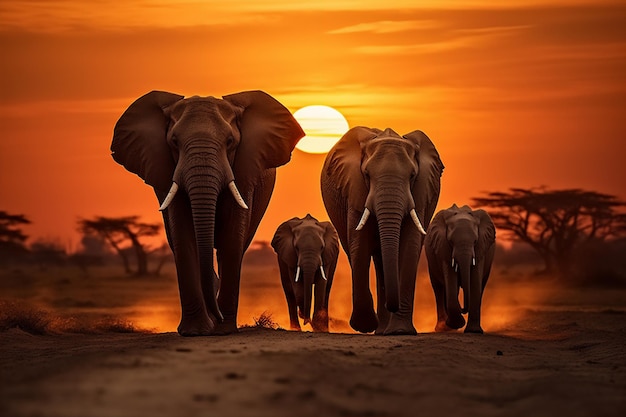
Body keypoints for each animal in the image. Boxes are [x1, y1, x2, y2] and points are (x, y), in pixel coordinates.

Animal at [111, 90, 304, 334]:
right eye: (174, 142)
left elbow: (232, 237)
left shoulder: (244, 171)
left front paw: (223, 330)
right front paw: (195, 331)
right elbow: (183, 234)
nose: (218, 319)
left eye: (230, 142)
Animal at [320, 125, 442, 334]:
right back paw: (379, 329)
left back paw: (384, 330)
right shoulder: (355, 189)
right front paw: (365, 325)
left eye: (412, 176)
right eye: (367, 175)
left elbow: (410, 246)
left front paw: (400, 331)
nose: (392, 306)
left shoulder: (420, 194)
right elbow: (359, 244)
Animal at [422, 203, 494, 334]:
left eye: (475, 241)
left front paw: (474, 331)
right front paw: (457, 324)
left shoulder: (481, 248)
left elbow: (475, 281)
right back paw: (443, 328)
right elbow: (450, 278)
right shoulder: (443, 246)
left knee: (482, 285)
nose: (463, 308)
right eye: (451, 241)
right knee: (439, 288)